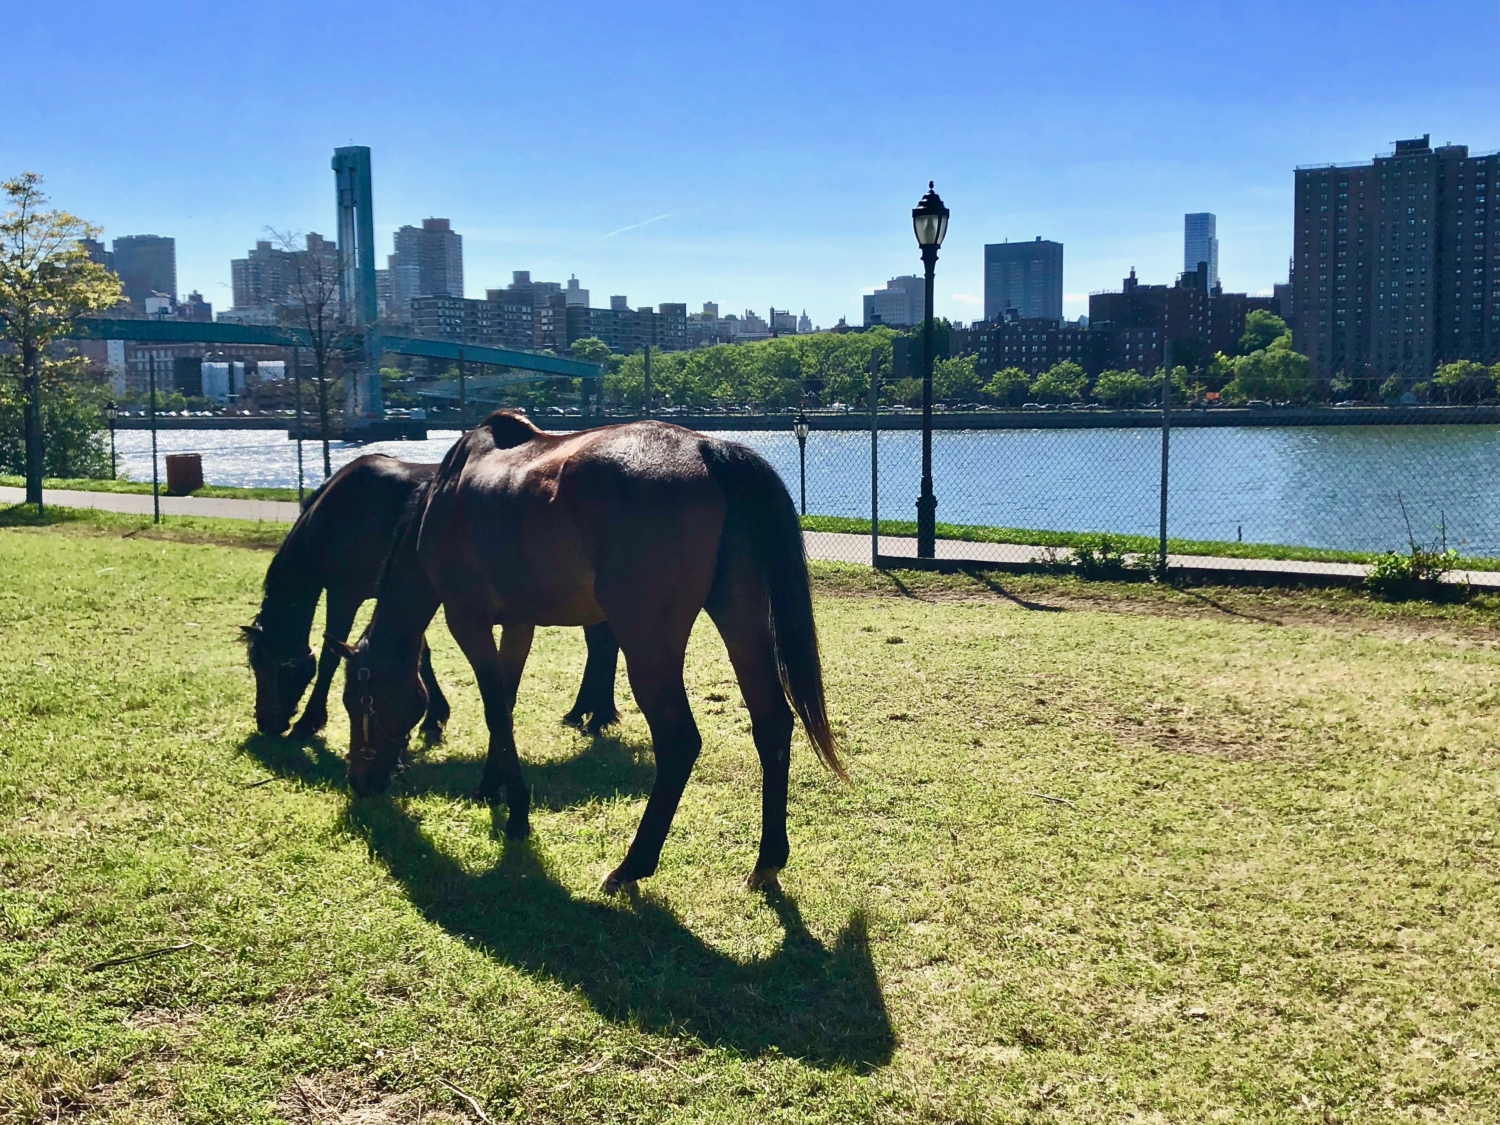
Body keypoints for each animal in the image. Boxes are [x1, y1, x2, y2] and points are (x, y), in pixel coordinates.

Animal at [246, 450, 621, 741]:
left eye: (264, 666)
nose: (265, 722)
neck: (339, 513)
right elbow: (420, 656)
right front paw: (434, 716)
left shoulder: (343, 594)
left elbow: (328, 658)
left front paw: (309, 722)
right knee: (601, 646)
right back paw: (586, 712)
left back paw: (595, 716)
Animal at [336, 411, 846, 894]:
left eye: (358, 702)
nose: (358, 780)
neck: (444, 496)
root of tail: (708, 447)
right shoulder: (519, 623)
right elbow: (506, 702)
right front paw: (491, 785)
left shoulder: (467, 620)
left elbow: (494, 708)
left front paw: (516, 812)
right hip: (740, 615)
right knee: (772, 723)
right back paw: (766, 862)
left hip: (648, 642)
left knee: (679, 740)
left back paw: (632, 867)